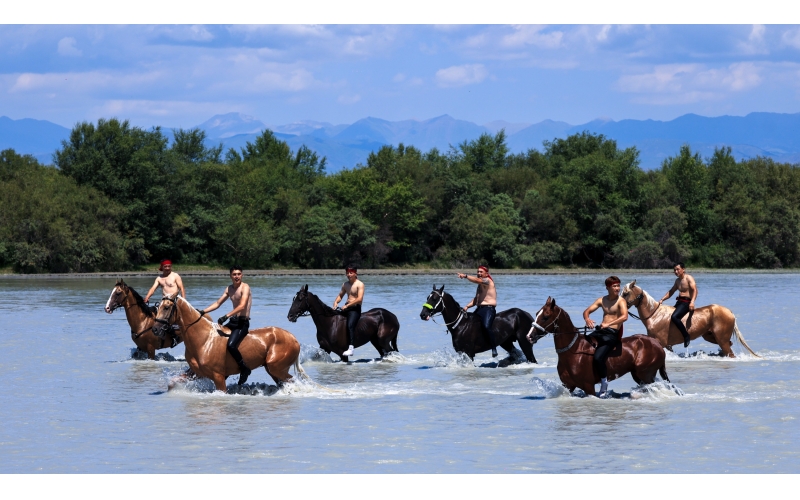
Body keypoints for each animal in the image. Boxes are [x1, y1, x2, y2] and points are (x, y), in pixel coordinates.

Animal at [153, 293, 301, 391]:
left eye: (166, 307)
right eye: (158, 307)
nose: (155, 329)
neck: (203, 339)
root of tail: (294, 338)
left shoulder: (218, 377)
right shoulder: (195, 373)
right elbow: (172, 383)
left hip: (276, 368)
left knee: (295, 381)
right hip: (273, 371)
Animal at [532, 296, 669, 396]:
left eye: (545, 317)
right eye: (537, 313)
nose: (530, 336)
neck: (573, 350)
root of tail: (657, 344)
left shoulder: (588, 387)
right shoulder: (568, 386)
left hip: (646, 375)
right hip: (638, 375)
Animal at [621, 280, 759, 358]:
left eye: (626, 293)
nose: (619, 305)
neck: (654, 315)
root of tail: (729, 312)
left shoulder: (663, 343)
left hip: (721, 340)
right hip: (711, 337)